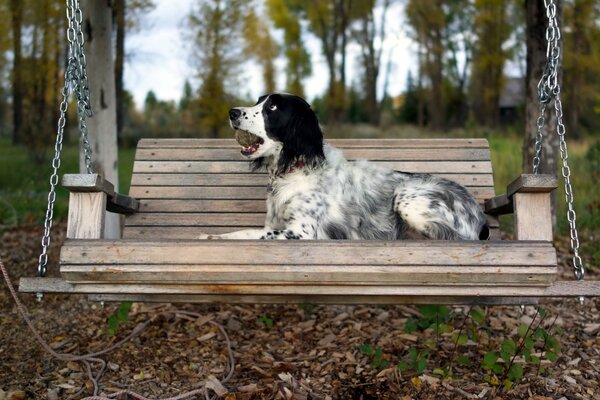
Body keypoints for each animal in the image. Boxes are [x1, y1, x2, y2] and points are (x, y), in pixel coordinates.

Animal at [199, 94, 490, 241]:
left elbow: (251, 233)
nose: (232, 112)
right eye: (259, 100)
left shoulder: (303, 231)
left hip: (407, 200)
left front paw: (214, 237)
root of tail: (479, 212)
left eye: (272, 106)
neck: (294, 170)